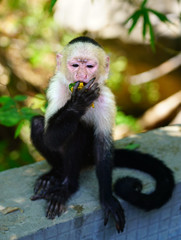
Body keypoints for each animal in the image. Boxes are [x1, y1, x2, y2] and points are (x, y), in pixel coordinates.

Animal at [30, 36, 175, 233]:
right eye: (75, 65)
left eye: (90, 66)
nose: (82, 75)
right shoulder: (56, 88)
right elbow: (50, 138)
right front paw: (78, 102)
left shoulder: (107, 99)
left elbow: (102, 146)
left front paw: (107, 198)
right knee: (47, 125)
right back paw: (58, 176)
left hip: (87, 155)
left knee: (81, 133)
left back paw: (68, 186)